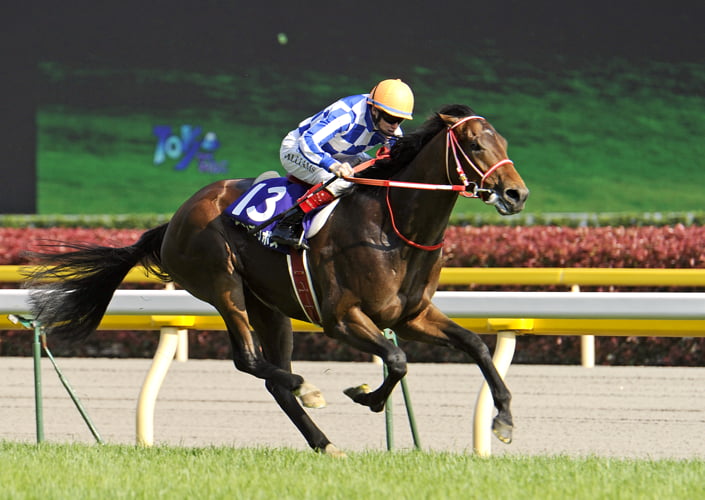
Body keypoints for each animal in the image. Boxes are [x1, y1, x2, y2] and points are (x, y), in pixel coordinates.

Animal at [26, 104, 529, 456]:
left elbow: (475, 345)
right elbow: (398, 360)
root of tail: (172, 221)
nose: (516, 193)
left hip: (269, 307)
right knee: (249, 360)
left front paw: (504, 419)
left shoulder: (412, 315)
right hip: (223, 285)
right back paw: (308, 388)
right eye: (475, 144)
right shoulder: (341, 318)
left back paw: (324, 441)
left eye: (504, 141)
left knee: (273, 380)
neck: (392, 225)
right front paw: (366, 396)